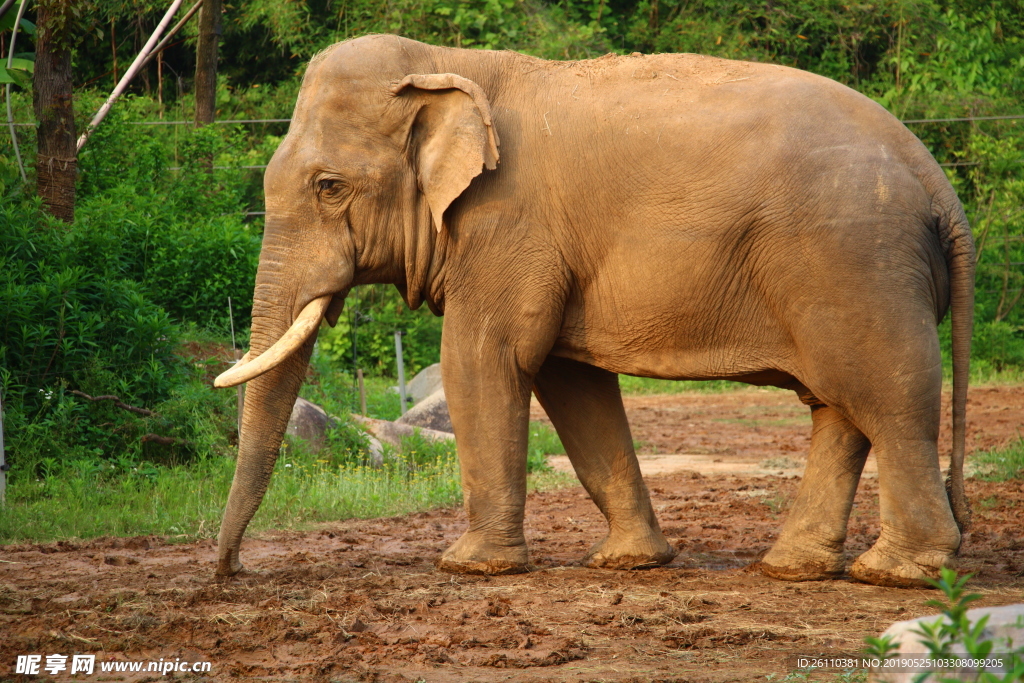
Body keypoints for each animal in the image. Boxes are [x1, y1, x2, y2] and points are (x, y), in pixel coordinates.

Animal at [216, 33, 974, 589]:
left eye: (329, 186)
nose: (231, 571)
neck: (446, 63)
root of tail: (938, 182)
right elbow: (570, 382)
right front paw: (628, 562)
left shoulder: (506, 226)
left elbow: (483, 361)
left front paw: (470, 567)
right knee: (840, 405)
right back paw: (792, 569)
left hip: (857, 261)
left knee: (885, 394)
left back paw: (895, 573)